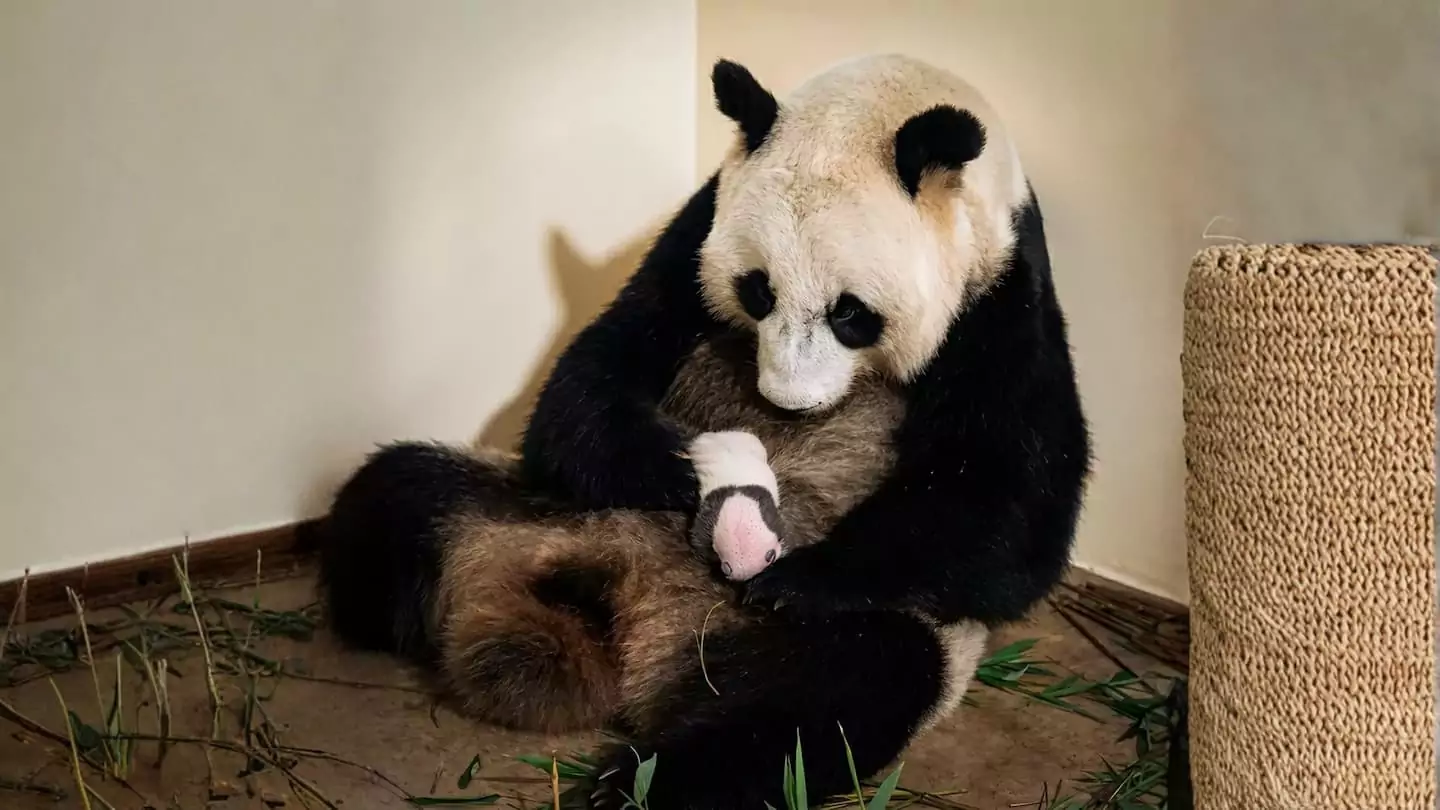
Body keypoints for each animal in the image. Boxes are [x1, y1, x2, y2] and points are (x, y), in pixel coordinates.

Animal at [317, 53, 1091, 809]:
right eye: (758, 289)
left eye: (850, 313)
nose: (787, 403)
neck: (885, 94)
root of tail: (632, 623)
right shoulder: (696, 234)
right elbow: (583, 387)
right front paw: (687, 467)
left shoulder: (1000, 292)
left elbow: (1007, 516)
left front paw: (795, 575)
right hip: (526, 510)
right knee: (398, 493)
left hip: (825, 638)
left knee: (822, 700)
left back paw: (646, 783)